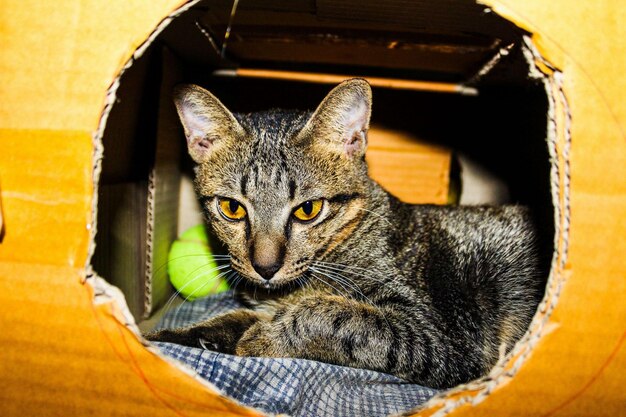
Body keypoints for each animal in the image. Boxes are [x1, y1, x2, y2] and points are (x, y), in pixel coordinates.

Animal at [144, 79, 544, 388]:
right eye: (232, 208)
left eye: (308, 210)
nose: (265, 267)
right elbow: (229, 319)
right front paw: (163, 339)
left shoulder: (438, 337)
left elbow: (336, 315)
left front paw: (264, 337)